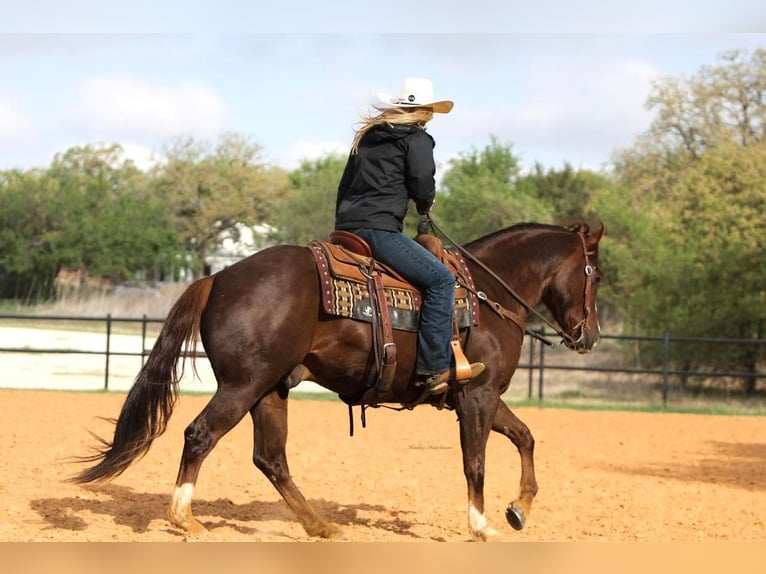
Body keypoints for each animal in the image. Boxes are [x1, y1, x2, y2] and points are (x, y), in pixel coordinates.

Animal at [70, 220, 608, 544]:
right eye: (596, 274)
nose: (591, 336)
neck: (485, 294)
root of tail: (219, 277)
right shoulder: (477, 397)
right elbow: (475, 463)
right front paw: (481, 526)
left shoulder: (480, 397)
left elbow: (526, 436)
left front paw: (520, 509)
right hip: (242, 387)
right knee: (200, 435)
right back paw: (185, 518)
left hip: (270, 390)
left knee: (271, 458)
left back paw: (320, 526)